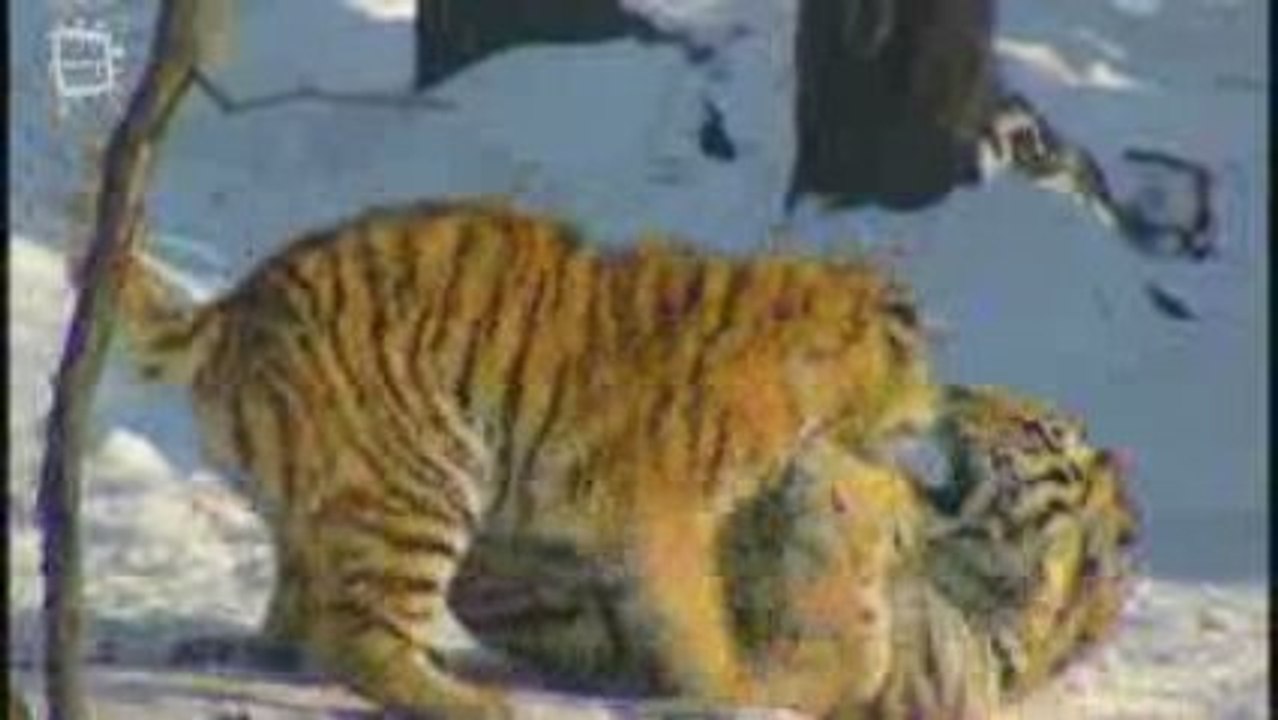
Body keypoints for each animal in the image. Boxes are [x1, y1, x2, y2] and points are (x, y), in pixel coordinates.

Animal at [115, 197, 938, 718]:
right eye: (918, 364)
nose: (941, 404)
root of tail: (231, 312)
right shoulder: (666, 520)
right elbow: (695, 616)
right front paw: (733, 688)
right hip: (427, 477)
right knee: (355, 640)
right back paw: (472, 703)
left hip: (329, 503)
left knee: (307, 610)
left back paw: (249, 651)